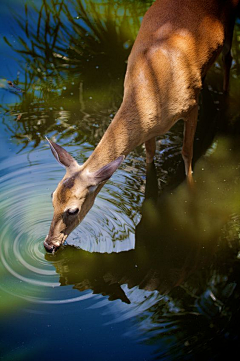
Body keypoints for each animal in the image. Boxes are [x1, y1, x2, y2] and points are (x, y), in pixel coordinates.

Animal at [44, 0, 239, 252]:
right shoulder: (149, 130)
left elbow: (187, 152)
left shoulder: (190, 106)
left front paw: (193, 195)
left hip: (231, 24)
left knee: (228, 59)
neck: (152, 91)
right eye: (52, 196)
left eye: (73, 210)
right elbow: (149, 156)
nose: (49, 245)